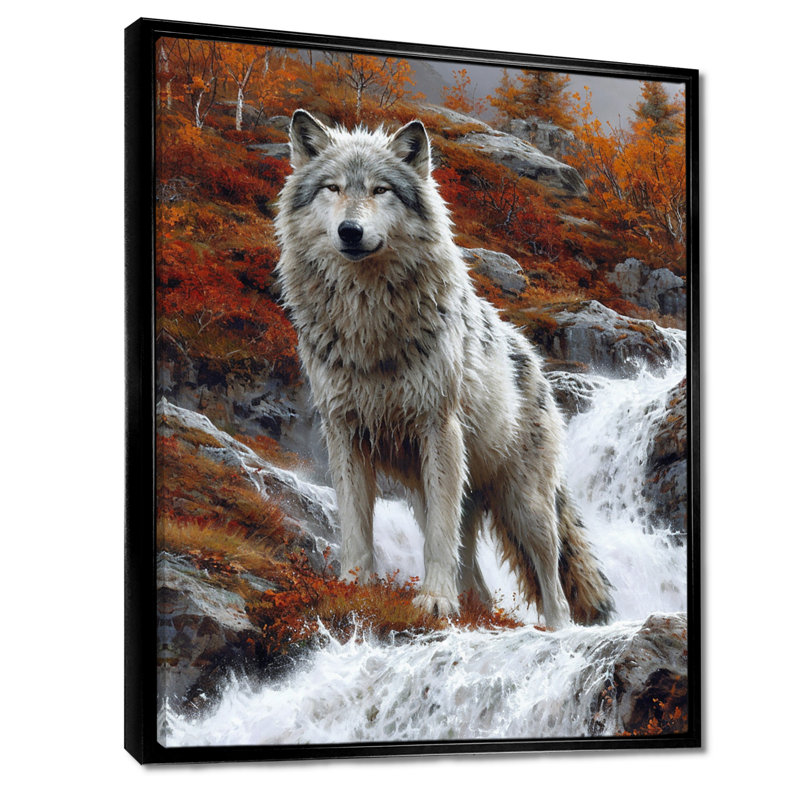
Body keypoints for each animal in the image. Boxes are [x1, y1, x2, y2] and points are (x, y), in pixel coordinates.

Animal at [275, 109, 613, 628]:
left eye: (381, 190)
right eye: (333, 188)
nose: (349, 231)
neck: (370, 326)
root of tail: (533, 358)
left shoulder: (439, 427)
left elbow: (439, 539)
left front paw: (435, 600)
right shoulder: (344, 433)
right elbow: (355, 526)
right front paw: (353, 587)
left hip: (524, 505)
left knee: (551, 577)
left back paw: (555, 631)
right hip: (437, 491)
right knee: (479, 579)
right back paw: (476, 610)